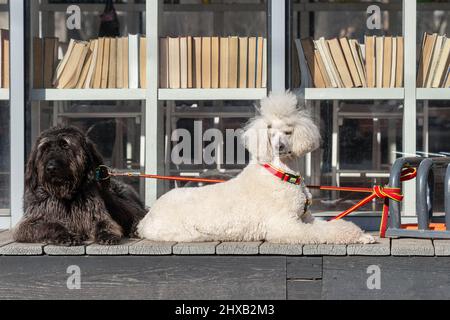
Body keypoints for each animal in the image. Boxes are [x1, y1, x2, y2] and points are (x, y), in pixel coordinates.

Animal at [13, 125, 147, 245]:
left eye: (65, 145)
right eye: (45, 148)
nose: (51, 168)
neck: (66, 196)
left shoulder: (96, 215)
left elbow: (104, 223)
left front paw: (107, 234)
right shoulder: (28, 224)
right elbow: (50, 224)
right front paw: (66, 235)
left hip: (115, 201)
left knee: (139, 214)